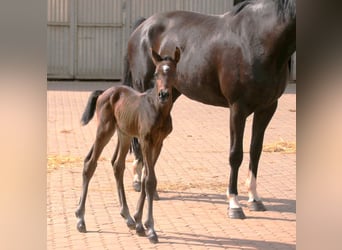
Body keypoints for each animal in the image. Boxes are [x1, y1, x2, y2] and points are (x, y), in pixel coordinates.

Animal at [75, 47, 182, 242]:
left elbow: (147, 177)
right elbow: (150, 180)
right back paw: (80, 219)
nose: (164, 94)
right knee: (90, 164)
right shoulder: (145, 140)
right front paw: (150, 228)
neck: (157, 109)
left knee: (117, 165)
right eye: (156, 73)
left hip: (123, 134)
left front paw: (140, 223)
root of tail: (104, 92)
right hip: (105, 130)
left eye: (173, 72)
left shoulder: (159, 142)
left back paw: (127, 217)